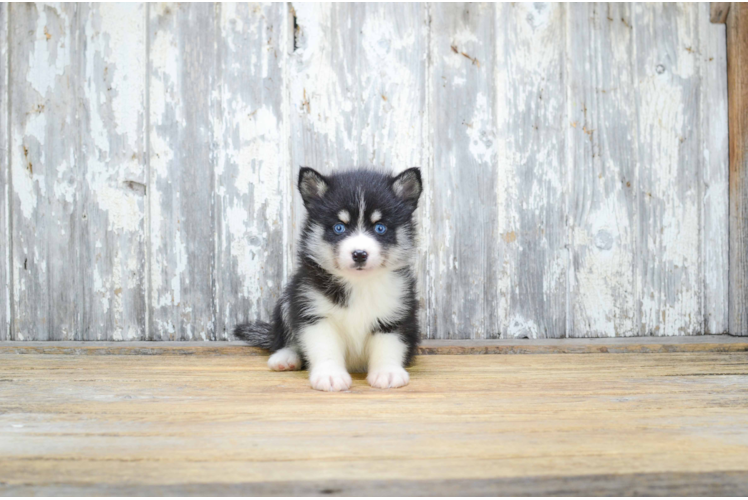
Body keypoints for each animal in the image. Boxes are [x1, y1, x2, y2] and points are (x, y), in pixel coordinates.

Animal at [234, 166, 420, 392]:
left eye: (380, 228)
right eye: (339, 227)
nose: (359, 254)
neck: (358, 283)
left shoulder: (395, 314)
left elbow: (389, 346)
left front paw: (387, 372)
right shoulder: (315, 313)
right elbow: (324, 348)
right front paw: (330, 375)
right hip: (289, 298)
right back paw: (286, 357)